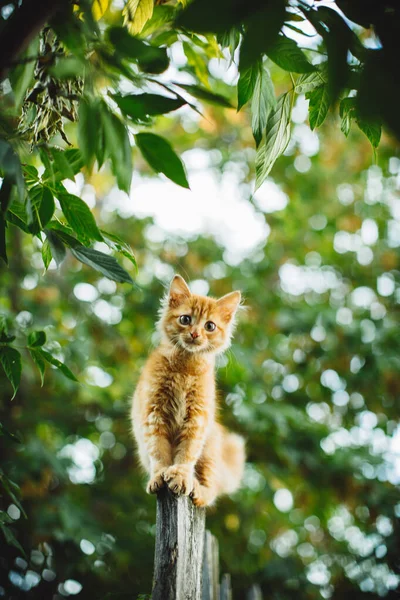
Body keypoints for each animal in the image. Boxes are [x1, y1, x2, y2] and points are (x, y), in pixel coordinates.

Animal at [132, 276, 244, 506]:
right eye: (185, 319)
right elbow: (159, 452)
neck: (185, 368)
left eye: (210, 326)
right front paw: (159, 475)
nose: (195, 333)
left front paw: (180, 476)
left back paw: (198, 489)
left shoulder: (196, 419)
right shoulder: (153, 414)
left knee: (212, 490)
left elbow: (186, 454)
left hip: (209, 451)